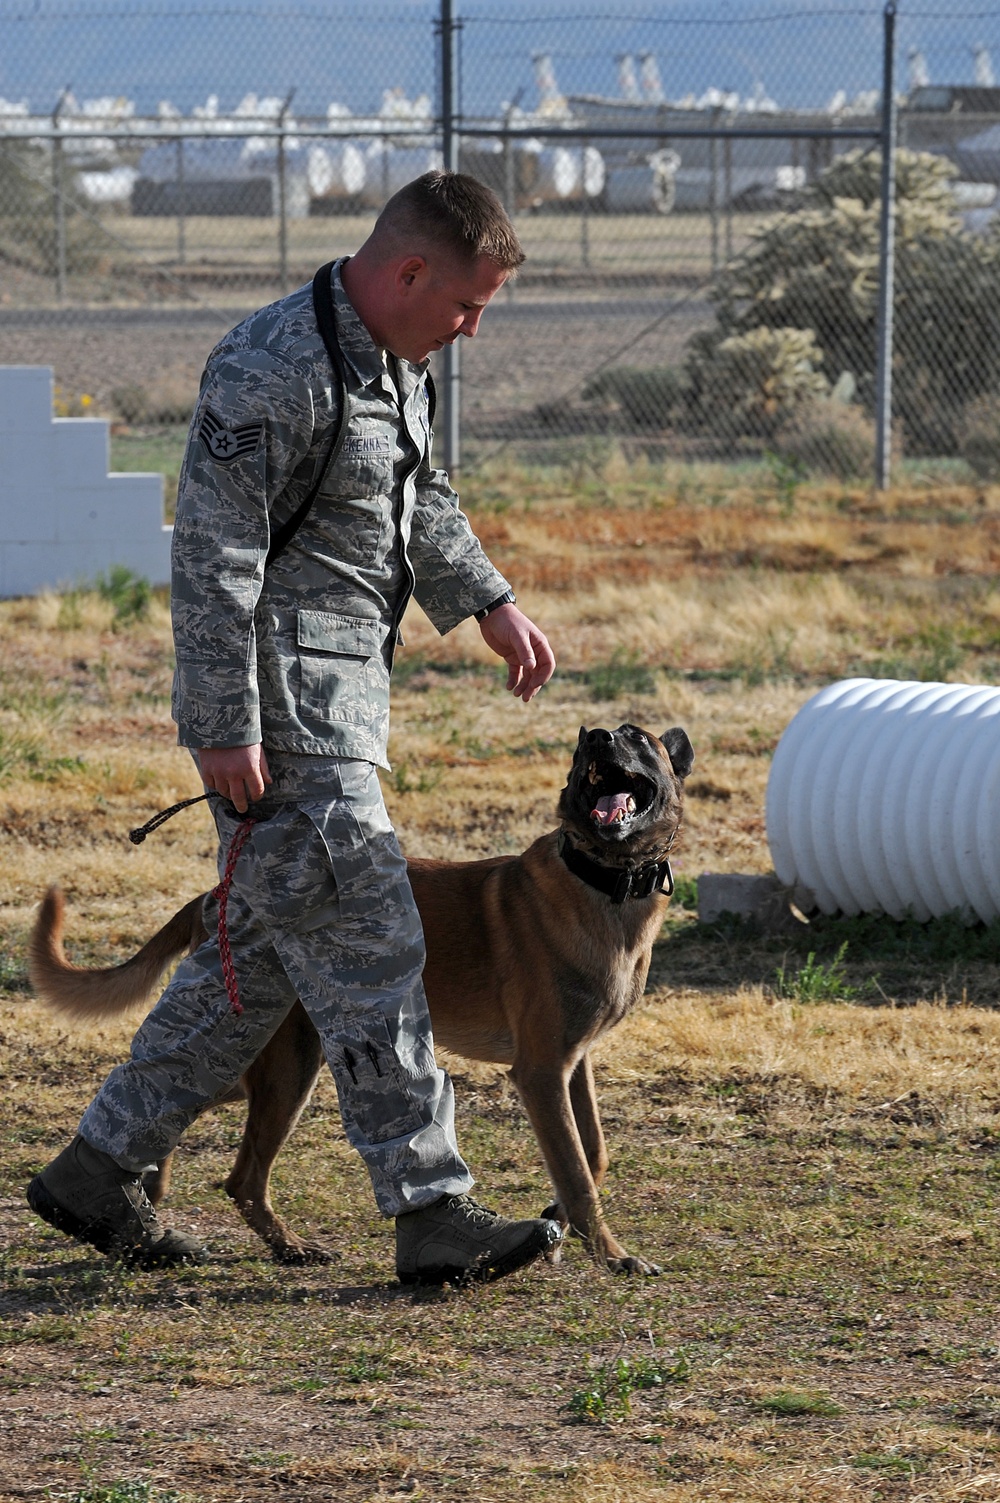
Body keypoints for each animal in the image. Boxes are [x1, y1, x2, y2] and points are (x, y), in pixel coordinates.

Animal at [27, 721, 691, 1274]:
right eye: (585, 746)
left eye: (635, 736)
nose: (599, 737)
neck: (603, 881)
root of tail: (216, 894)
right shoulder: (541, 1071)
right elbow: (577, 1169)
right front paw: (611, 1254)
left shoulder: (573, 1064)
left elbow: (593, 1153)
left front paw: (559, 1219)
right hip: (283, 1067)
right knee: (232, 1163)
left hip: (266, 1065)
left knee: (189, 1110)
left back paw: (168, 1202)